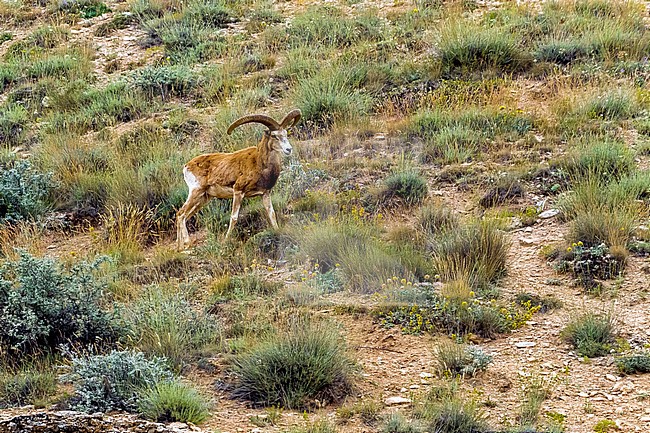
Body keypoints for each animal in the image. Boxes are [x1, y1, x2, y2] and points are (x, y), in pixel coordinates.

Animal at [176, 109, 301, 250]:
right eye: (274, 136)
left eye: (286, 134)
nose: (288, 149)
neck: (259, 163)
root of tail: (187, 166)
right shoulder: (238, 191)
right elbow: (234, 217)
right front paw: (225, 241)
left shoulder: (265, 193)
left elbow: (271, 213)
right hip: (196, 192)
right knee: (181, 214)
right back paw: (187, 243)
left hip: (204, 198)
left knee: (183, 216)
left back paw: (180, 247)